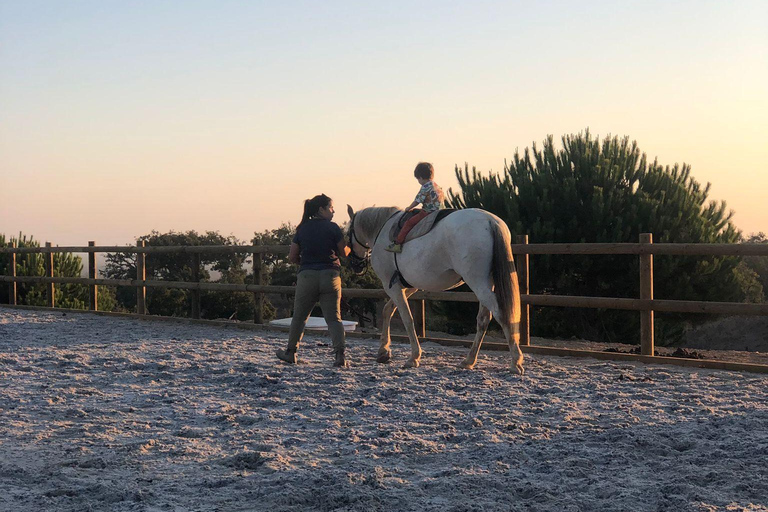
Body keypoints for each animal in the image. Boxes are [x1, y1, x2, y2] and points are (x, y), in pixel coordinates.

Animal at [346, 205, 524, 374]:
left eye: (348, 233)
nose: (355, 265)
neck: (382, 229)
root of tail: (490, 221)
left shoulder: (392, 286)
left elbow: (406, 318)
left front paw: (413, 357)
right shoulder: (409, 287)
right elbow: (387, 310)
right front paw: (383, 351)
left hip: (478, 283)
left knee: (501, 314)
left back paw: (515, 362)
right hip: (485, 284)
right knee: (483, 319)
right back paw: (469, 361)